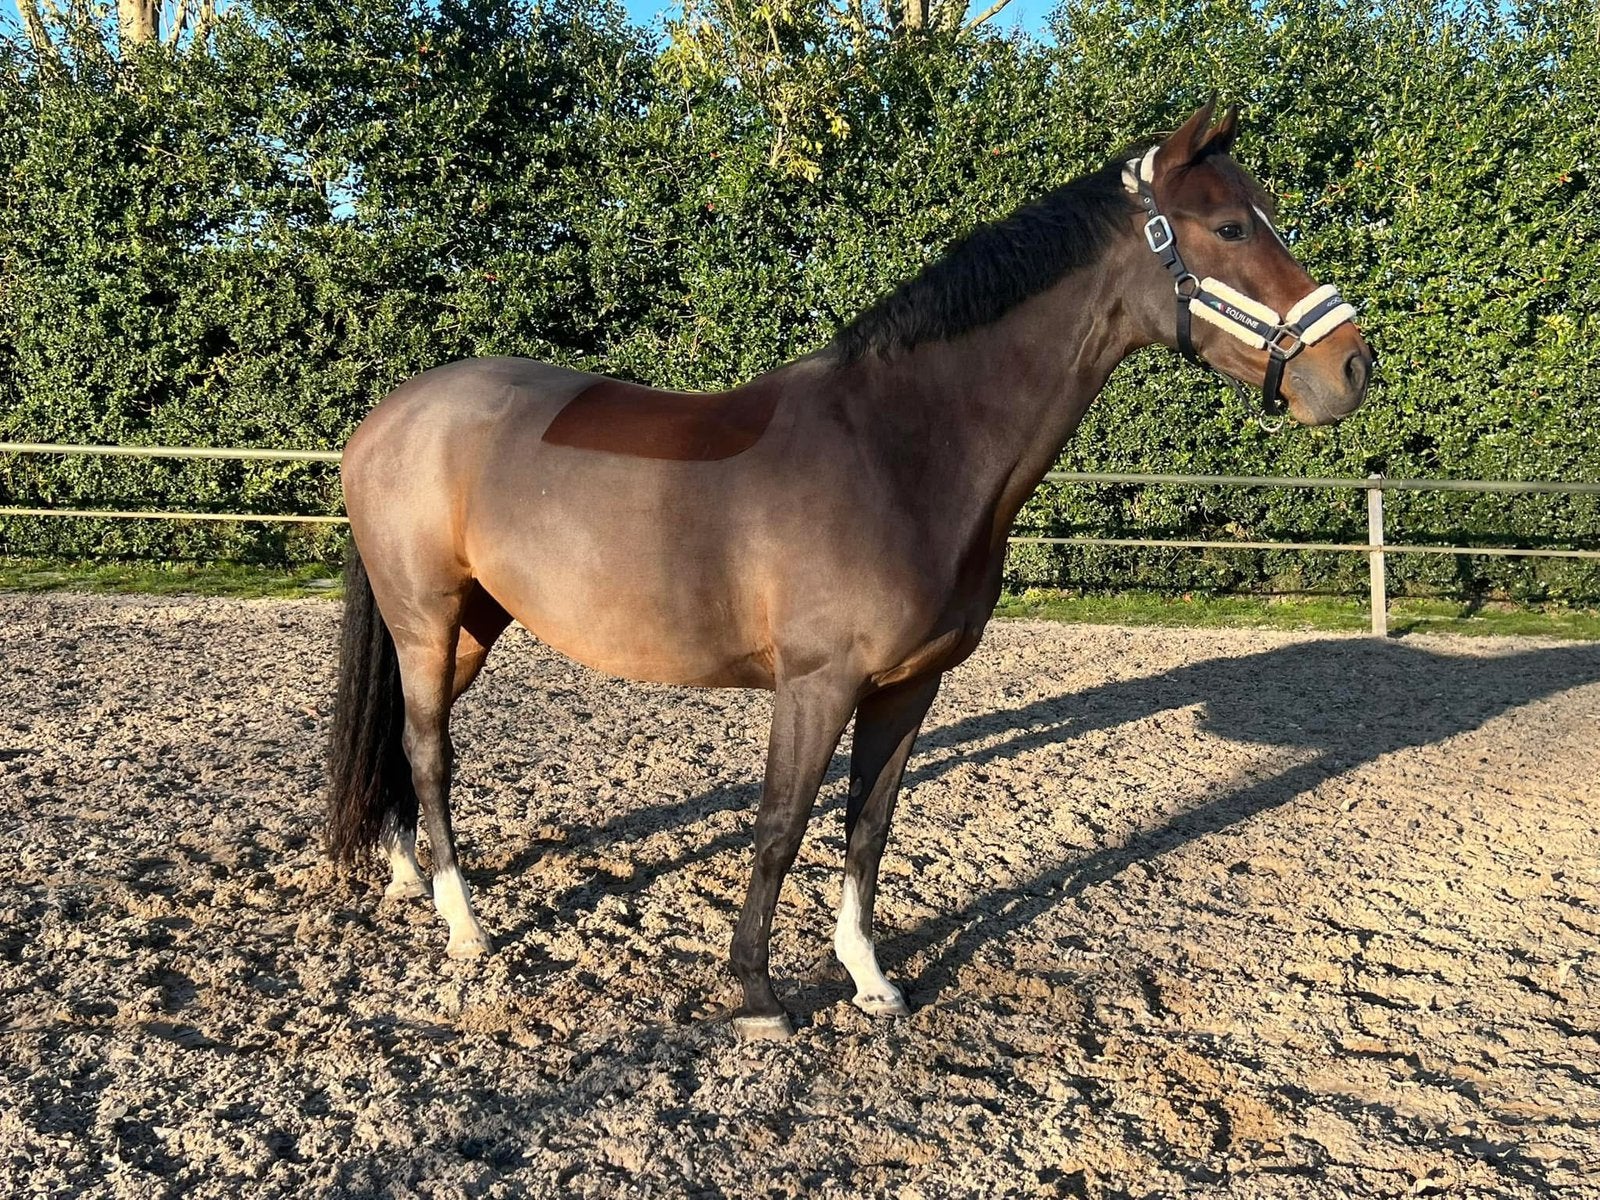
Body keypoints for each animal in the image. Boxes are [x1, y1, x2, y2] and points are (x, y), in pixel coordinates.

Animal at [326, 101, 1373, 1040]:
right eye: (1232, 227)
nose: (1352, 368)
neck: (897, 450)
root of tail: (388, 416)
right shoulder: (817, 684)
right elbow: (781, 824)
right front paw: (756, 994)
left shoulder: (908, 686)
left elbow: (869, 826)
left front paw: (870, 981)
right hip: (426, 623)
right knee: (430, 752)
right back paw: (463, 924)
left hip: (471, 627)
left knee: (406, 749)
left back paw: (408, 876)